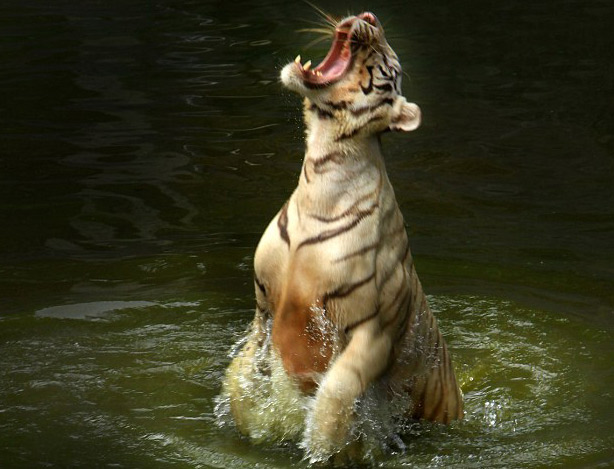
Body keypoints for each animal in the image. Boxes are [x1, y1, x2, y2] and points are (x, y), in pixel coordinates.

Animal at [219, 10, 464, 460]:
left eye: (388, 57)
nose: (369, 16)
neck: (323, 167)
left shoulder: (373, 331)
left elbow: (338, 388)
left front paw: (323, 445)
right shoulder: (264, 307)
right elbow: (242, 368)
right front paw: (249, 420)